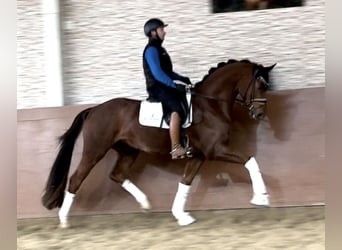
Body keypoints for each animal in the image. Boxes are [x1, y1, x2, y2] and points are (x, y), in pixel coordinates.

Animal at [41, 58, 276, 227]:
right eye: (261, 85)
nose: (259, 113)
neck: (211, 106)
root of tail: (94, 109)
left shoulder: (198, 155)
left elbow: (185, 182)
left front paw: (181, 216)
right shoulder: (216, 150)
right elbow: (250, 160)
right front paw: (262, 198)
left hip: (128, 151)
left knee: (117, 175)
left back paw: (145, 203)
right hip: (95, 150)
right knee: (76, 179)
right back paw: (64, 220)